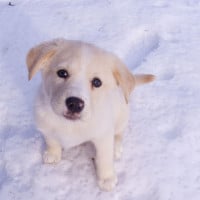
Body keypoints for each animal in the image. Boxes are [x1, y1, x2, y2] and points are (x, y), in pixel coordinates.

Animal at [26, 39, 155, 191]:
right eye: (62, 73)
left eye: (97, 82)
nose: (75, 104)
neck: (70, 125)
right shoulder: (45, 125)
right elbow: (51, 140)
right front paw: (52, 153)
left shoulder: (103, 135)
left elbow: (105, 158)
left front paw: (106, 178)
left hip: (121, 116)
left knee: (119, 134)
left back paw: (116, 149)